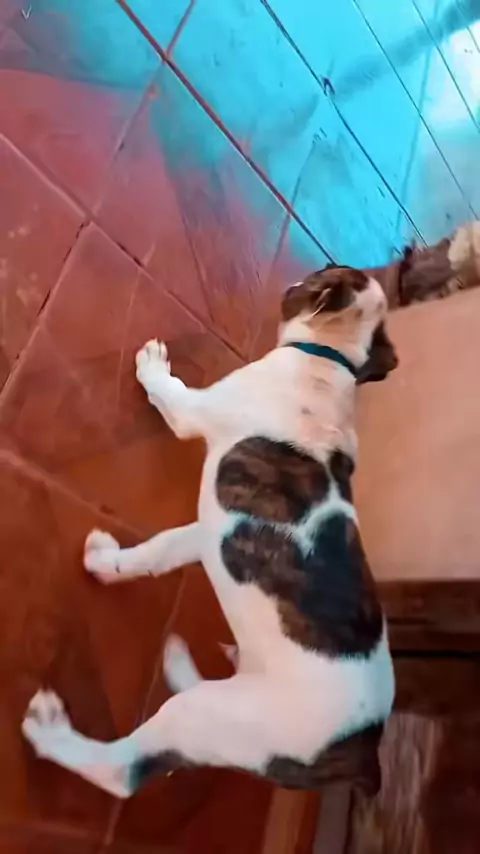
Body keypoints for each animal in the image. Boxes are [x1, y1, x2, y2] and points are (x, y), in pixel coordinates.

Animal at [22, 265, 398, 798]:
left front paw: (154, 367)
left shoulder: (193, 414)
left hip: (206, 718)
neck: (333, 357)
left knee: (123, 770)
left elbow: (170, 394)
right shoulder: (207, 532)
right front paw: (110, 565)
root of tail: (362, 750)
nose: (292, 284)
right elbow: (158, 551)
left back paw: (51, 731)